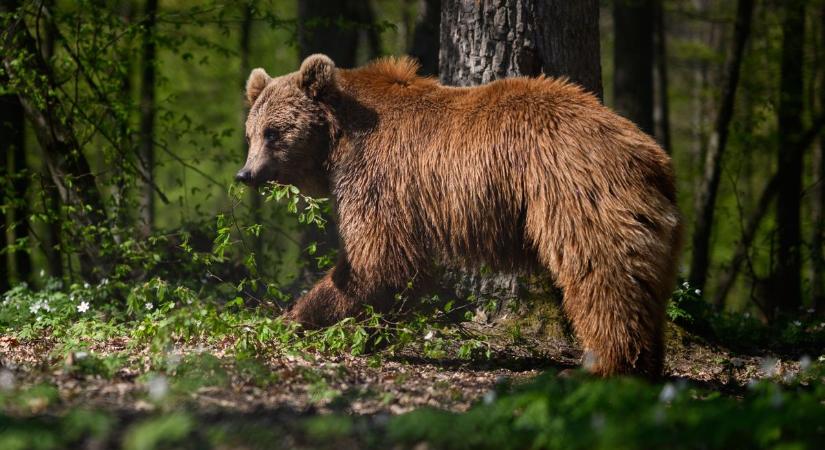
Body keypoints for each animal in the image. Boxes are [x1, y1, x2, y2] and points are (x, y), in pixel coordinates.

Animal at [235, 53, 680, 376]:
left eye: (274, 132)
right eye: (251, 133)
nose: (245, 174)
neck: (339, 139)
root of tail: (650, 154)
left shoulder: (378, 176)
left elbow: (378, 259)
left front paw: (299, 318)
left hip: (573, 193)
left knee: (601, 275)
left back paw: (606, 364)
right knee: (641, 282)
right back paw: (646, 363)